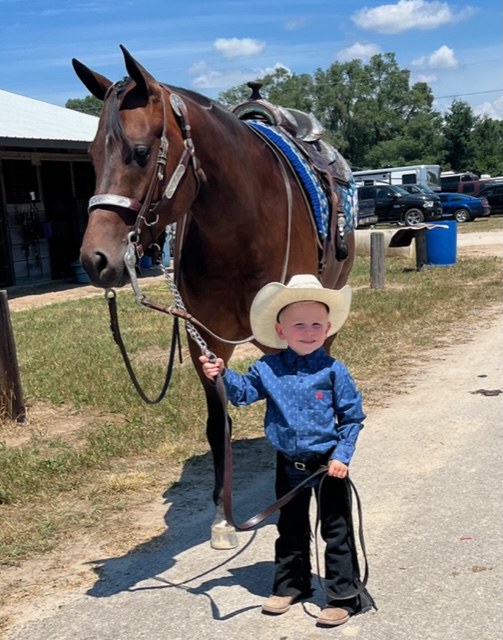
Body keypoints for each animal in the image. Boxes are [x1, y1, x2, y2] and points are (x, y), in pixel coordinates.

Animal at [74, 46, 358, 552]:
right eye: (89, 155)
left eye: (140, 153)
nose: (95, 260)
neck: (240, 227)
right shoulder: (207, 340)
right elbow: (217, 423)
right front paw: (223, 518)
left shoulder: (283, 333)